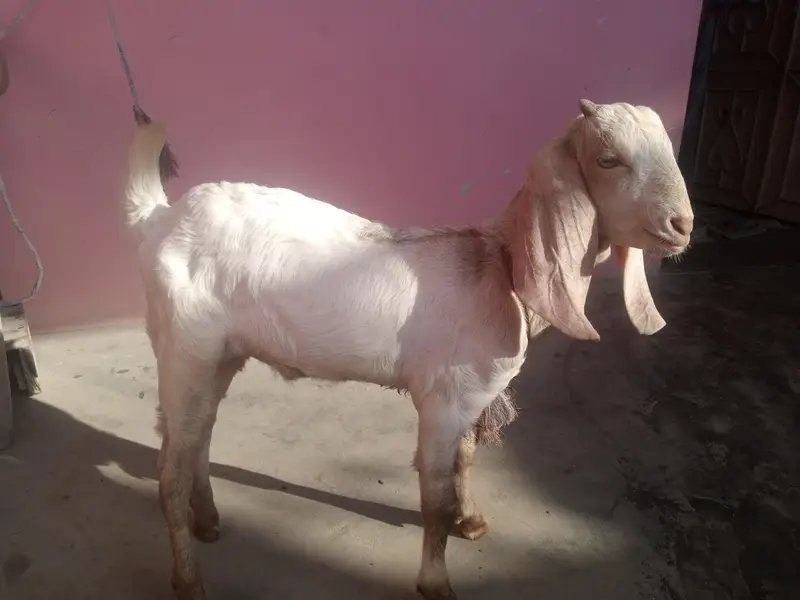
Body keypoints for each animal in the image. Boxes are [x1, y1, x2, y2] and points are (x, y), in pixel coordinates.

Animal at [123, 99, 693, 600]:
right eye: (608, 159)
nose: (682, 225)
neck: (501, 269)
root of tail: (158, 218)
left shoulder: (468, 399)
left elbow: (467, 459)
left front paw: (472, 521)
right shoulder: (441, 401)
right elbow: (434, 497)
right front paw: (436, 582)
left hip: (218, 355)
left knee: (194, 437)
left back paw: (207, 520)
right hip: (186, 350)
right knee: (170, 469)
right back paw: (189, 580)